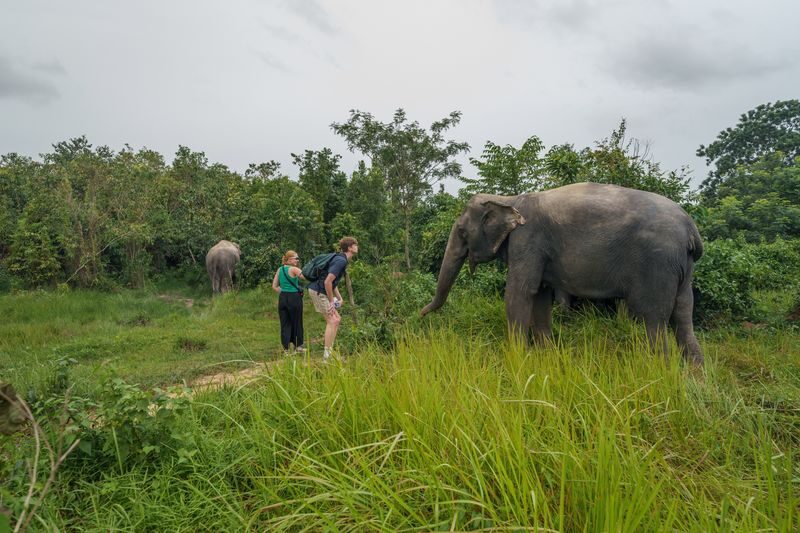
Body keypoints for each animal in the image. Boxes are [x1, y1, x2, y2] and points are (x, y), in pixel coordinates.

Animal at [421, 183, 704, 364]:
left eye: (462, 232)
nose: (421, 315)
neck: (509, 199)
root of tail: (691, 227)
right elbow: (540, 296)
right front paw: (546, 357)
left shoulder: (528, 239)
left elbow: (519, 293)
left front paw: (516, 358)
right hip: (682, 268)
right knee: (683, 316)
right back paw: (693, 378)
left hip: (657, 265)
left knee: (654, 319)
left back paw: (659, 373)